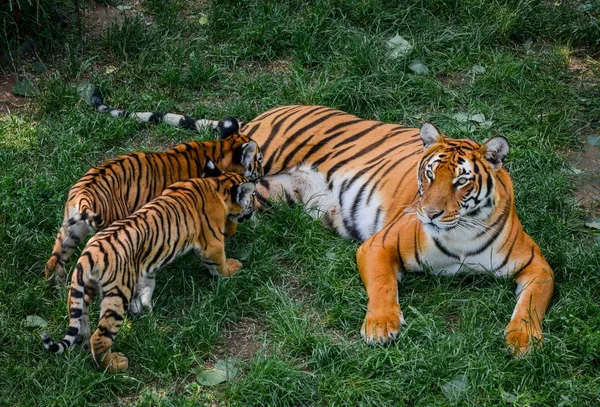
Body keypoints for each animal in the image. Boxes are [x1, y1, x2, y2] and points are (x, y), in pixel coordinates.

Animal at [41, 173, 256, 372]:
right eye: (252, 199)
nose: (255, 210)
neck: (216, 184)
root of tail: (89, 254)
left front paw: (144, 310)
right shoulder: (211, 244)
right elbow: (219, 262)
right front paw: (232, 268)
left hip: (84, 288)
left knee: (82, 326)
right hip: (117, 295)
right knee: (100, 337)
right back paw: (114, 364)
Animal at [43, 105, 264, 288]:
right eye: (259, 159)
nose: (262, 173)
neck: (219, 148)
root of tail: (83, 195)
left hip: (70, 231)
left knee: (57, 258)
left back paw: (57, 285)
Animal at [91, 94, 556, 356]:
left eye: (460, 181)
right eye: (428, 175)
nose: (430, 213)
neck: (459, 231)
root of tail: (265, 112)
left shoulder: (536, 266)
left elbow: (530, 306)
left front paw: (522, 341)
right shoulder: (377, 246)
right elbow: (383, 287)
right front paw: (381, 327)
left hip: (262, 194)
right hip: (250, 162)